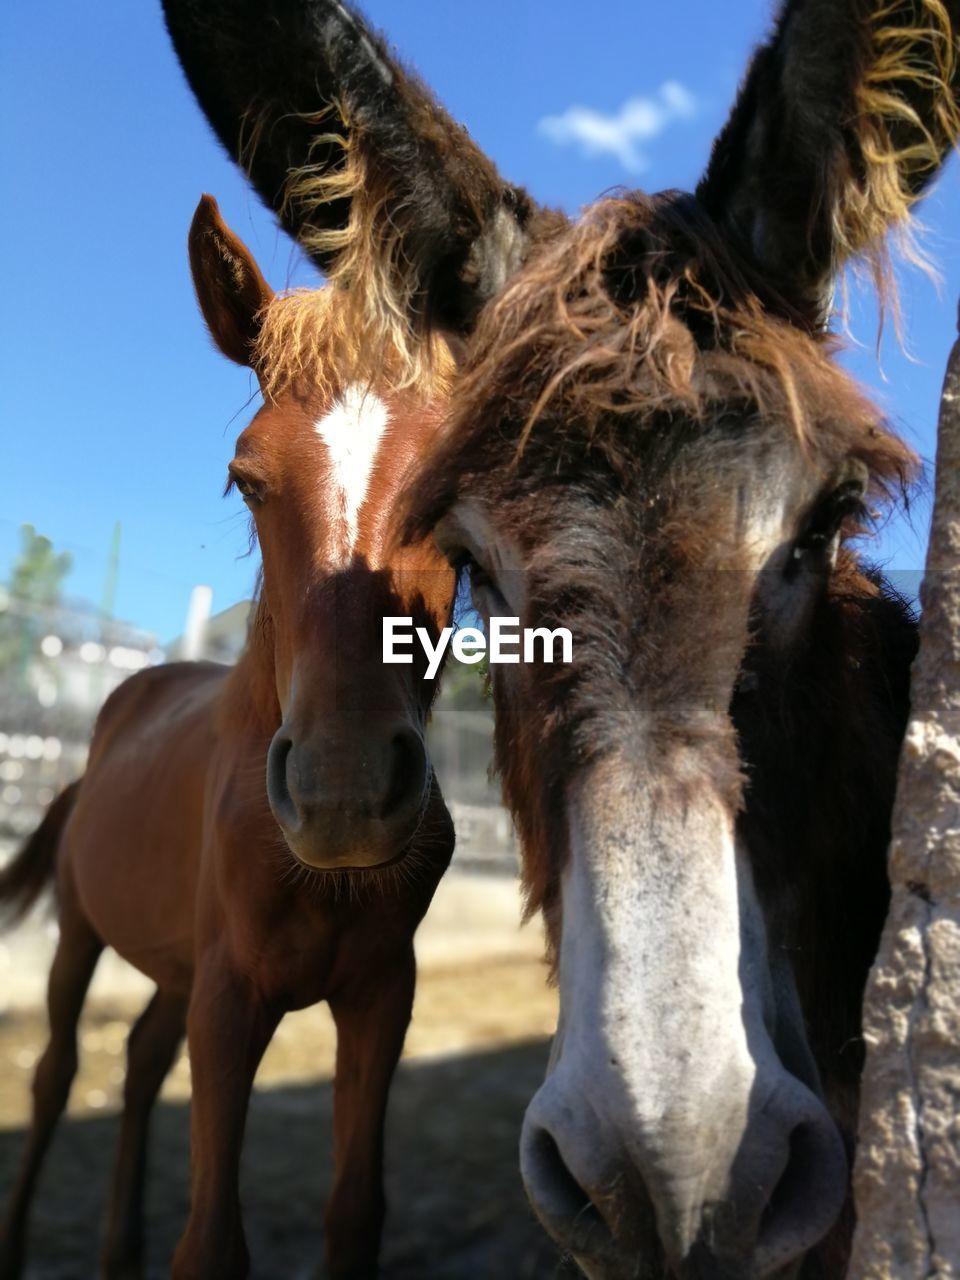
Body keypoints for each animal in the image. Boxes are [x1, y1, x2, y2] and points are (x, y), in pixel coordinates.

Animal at [0, 197, 458, 1280]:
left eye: (456, 482)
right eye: (244, 479)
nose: (342, 793)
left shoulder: (381, 995)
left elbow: (355, 1215)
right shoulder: (229, 998)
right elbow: (211, 1240)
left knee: (136, 1062)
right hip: (82, 936)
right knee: (57, 1074)